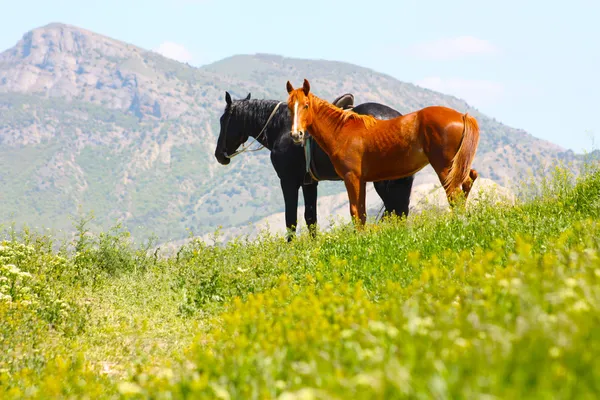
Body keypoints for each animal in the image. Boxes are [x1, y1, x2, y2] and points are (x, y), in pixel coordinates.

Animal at [213, 91, 414, 241]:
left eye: (223, 120)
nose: (219, 155)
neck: (282, 127)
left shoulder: (288, 181)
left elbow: (291, 219)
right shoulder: (309, 183)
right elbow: (310, 218)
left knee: (395, 209)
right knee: (399, 210)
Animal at [284, 79, 478, 225]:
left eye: (306, 105)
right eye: (289, 107)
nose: (296, 134)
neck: (343, 130)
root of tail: (461, 115)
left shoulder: (351, 177)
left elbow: (355, 212)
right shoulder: (361, 180)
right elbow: (361, 213)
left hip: (445, 169)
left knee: (454, 195)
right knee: (468, 181)